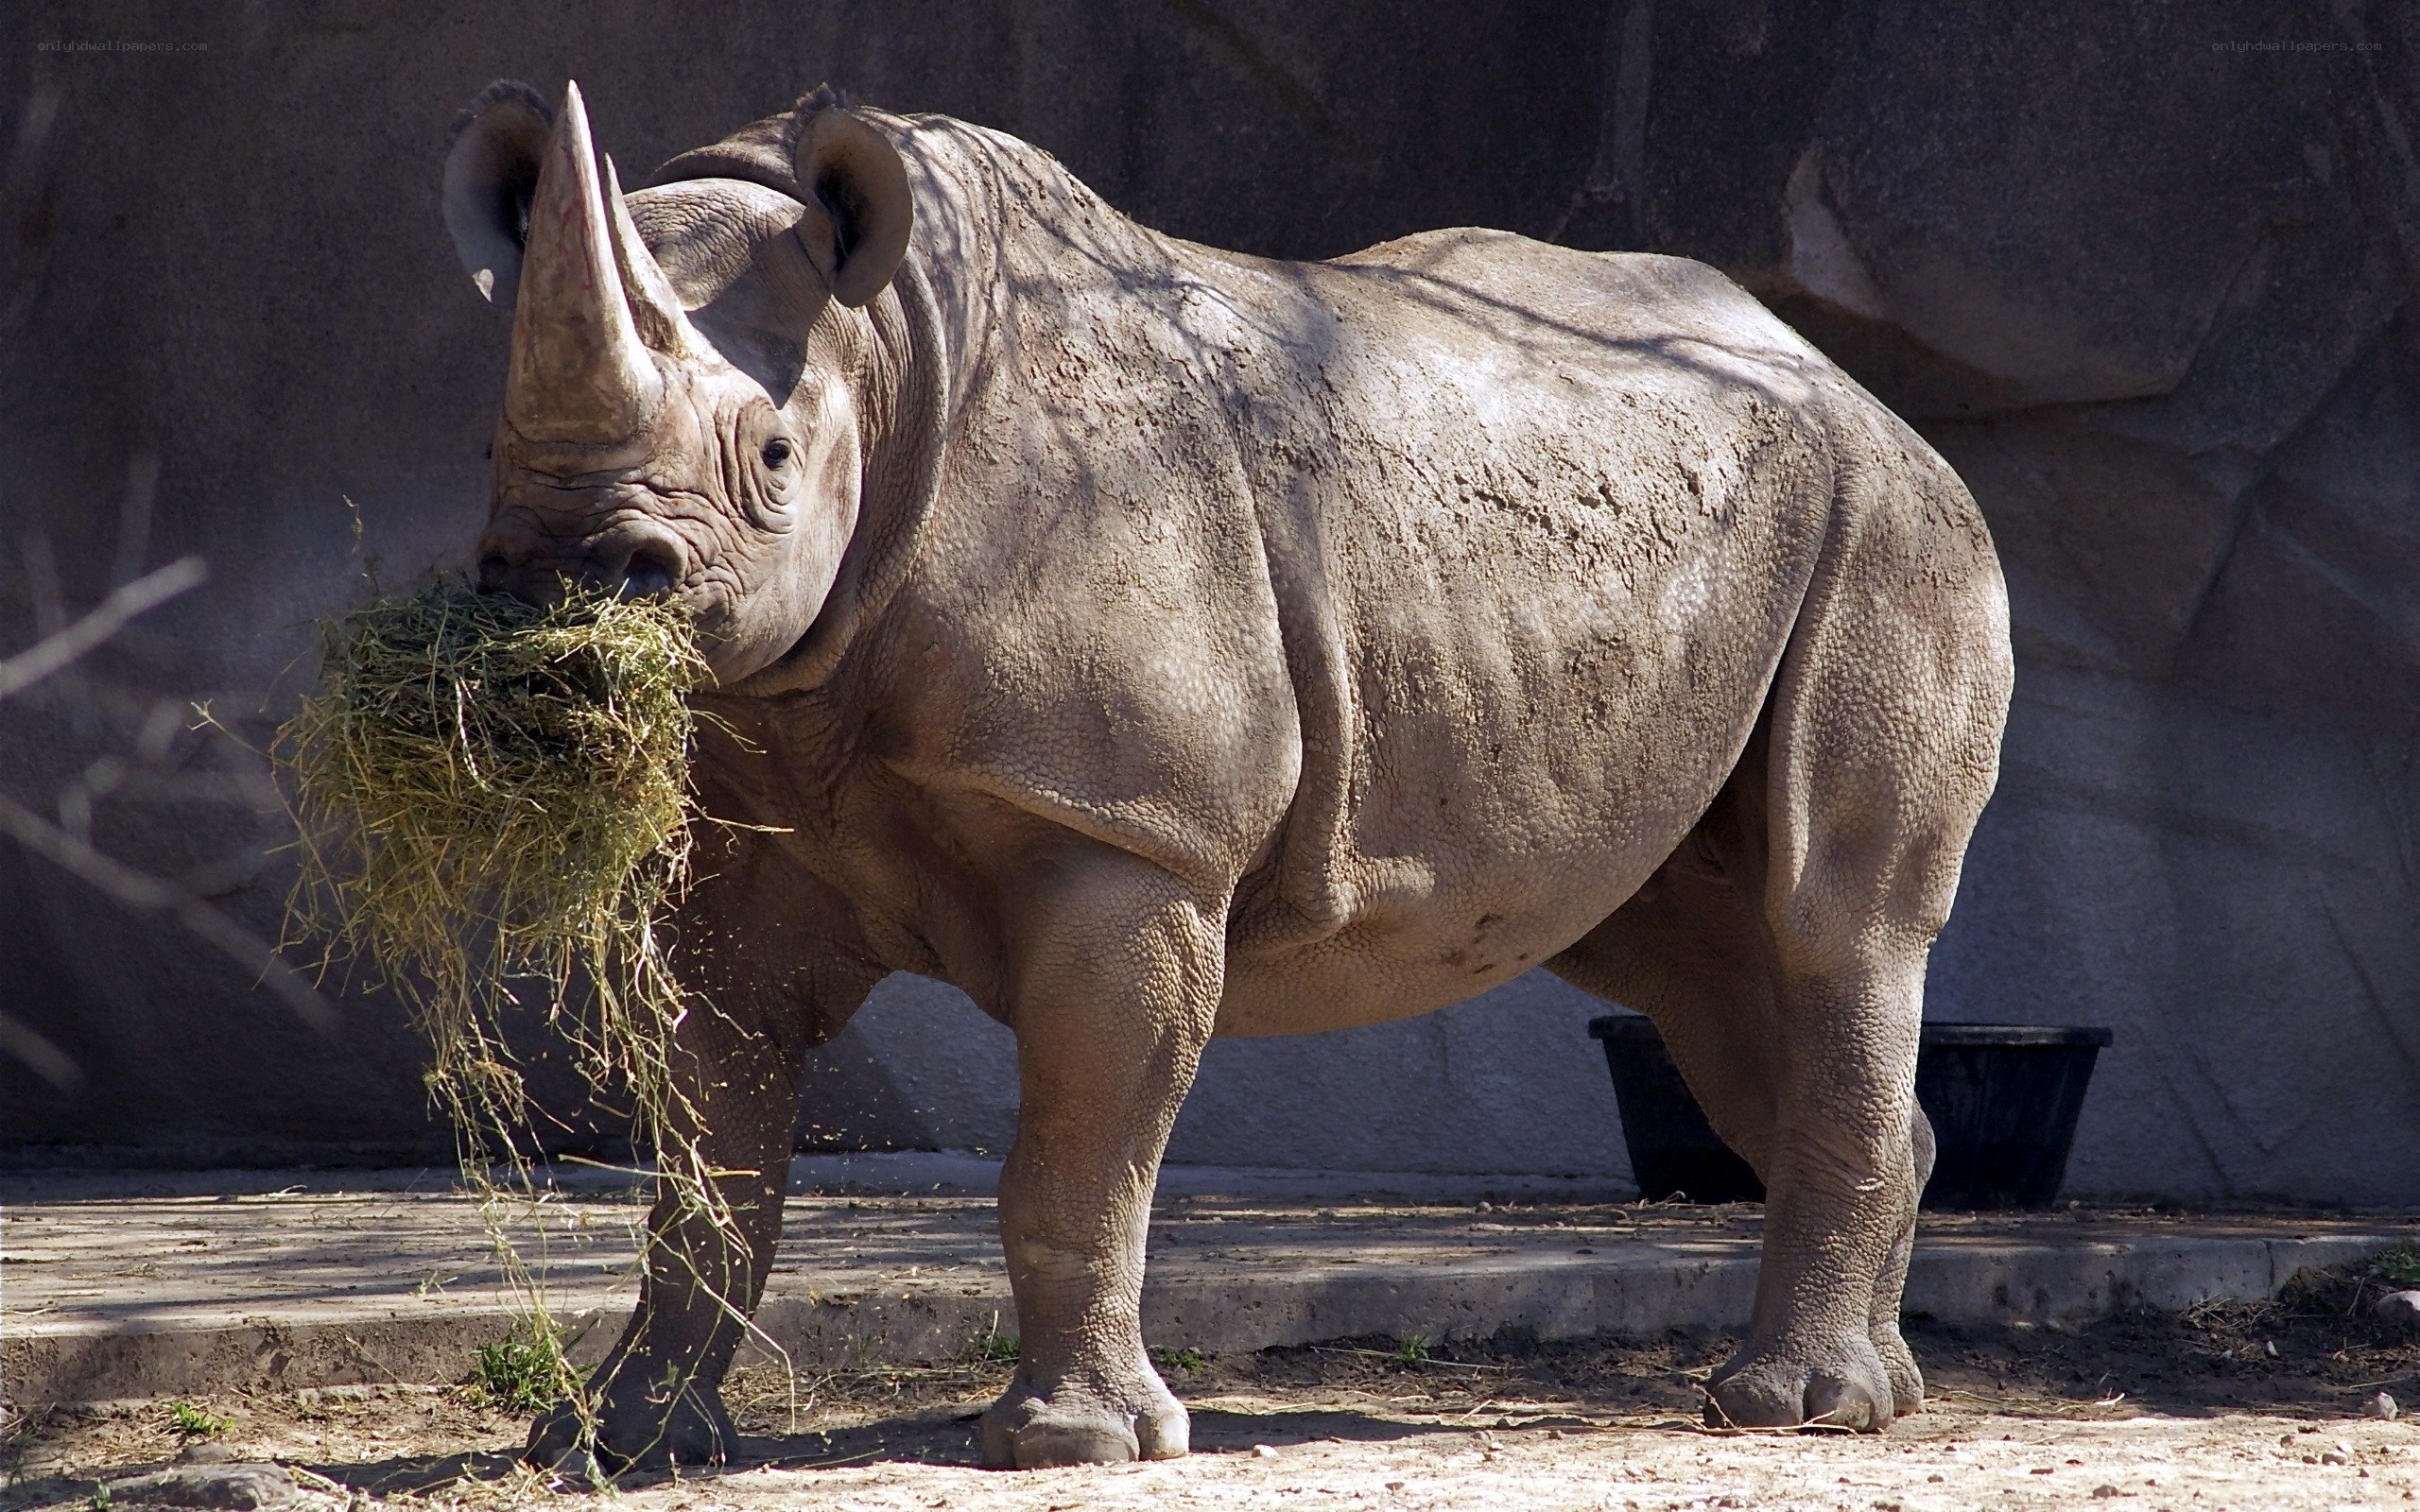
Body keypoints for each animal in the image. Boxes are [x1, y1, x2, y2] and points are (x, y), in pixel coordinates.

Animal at [440, 79, 2012, 1470]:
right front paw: (618, 1444)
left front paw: (1073, 1446)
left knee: (1837, 926)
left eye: (772, 457)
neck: (884, 355)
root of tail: (1858, 387)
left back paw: (1799, 1407)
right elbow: (708, 1168)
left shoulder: (1131, 834)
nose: (568, 578)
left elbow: (1079, 1154)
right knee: (1697, 966)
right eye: (491, 447)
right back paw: (1878, 1389)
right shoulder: (738, 843)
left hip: (1895, 531)